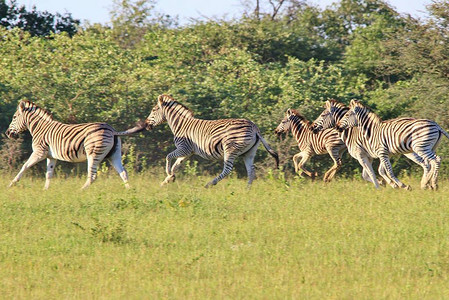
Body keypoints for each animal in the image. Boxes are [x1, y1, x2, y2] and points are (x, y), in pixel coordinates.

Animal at [5, 101, 145, 190]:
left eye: (14, 117)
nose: (7, 133)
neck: (40, 128)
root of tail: (112, 130)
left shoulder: (39, 152)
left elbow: (24, 167)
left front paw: (12, 184)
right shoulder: (51, 156)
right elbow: (49, 174)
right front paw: (45, 190)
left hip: (94, 153)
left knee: (92, 176)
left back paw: (81, 190)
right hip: (114, 155)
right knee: (123, 172)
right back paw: (129, 190)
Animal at [144, 95, 276, 186]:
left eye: (154, 110)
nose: (146, 125)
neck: (181, 125)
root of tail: (254, 127)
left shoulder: (184, 148)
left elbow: (168, 157)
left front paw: (168, 174)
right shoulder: (189, 152)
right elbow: (176, 165)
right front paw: (168, 180)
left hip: (230, 149)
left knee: (227, 170)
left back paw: (209, 184)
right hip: (249, 152)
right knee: (251, 172)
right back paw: (247, 190)